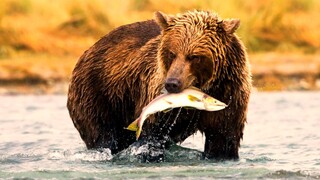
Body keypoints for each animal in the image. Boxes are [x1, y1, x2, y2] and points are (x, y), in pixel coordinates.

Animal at [67, 10, 251, 160]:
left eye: (194, 56)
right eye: (172, 53)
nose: (172, 84)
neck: (206, 86)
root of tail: (88, 51)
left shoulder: (230, 93)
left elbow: (223, 139)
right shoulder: (154, 95)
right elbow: (151, 136)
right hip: (99, 95)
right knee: (103, 136)